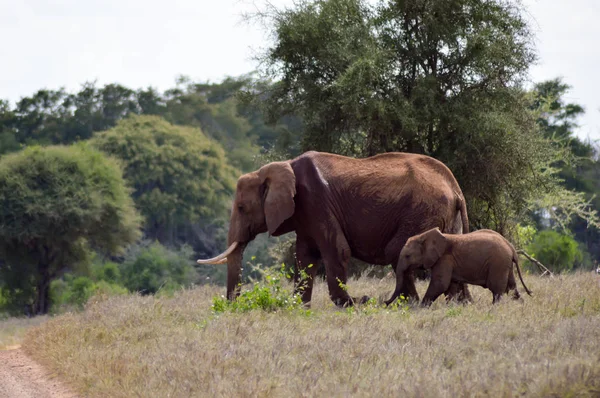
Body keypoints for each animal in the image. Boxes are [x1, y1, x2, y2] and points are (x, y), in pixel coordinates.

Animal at [199, 151, 472, 306]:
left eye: (242, 207)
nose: (233, 305)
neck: (282, 166)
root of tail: (456, 189)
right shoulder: (305, 213)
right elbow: (305, 257)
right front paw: (298, 306)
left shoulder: (316, 202)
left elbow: (337, 250)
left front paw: (351, 304)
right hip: (444, 217)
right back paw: (459, 304)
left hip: (422, 211)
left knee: (398, 252)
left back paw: (410, 304)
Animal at [384, 227, 528, 304]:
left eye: (408, 256)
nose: (385, 302)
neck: (425, 235)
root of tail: (511, 247)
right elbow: (450, 287)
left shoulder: (444, 259)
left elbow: (440, 284)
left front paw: (421, 307)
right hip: (505, 265)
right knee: (512, 287)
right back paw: (520, 305)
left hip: (498, 264)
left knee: (497, 290)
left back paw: (495, 309)